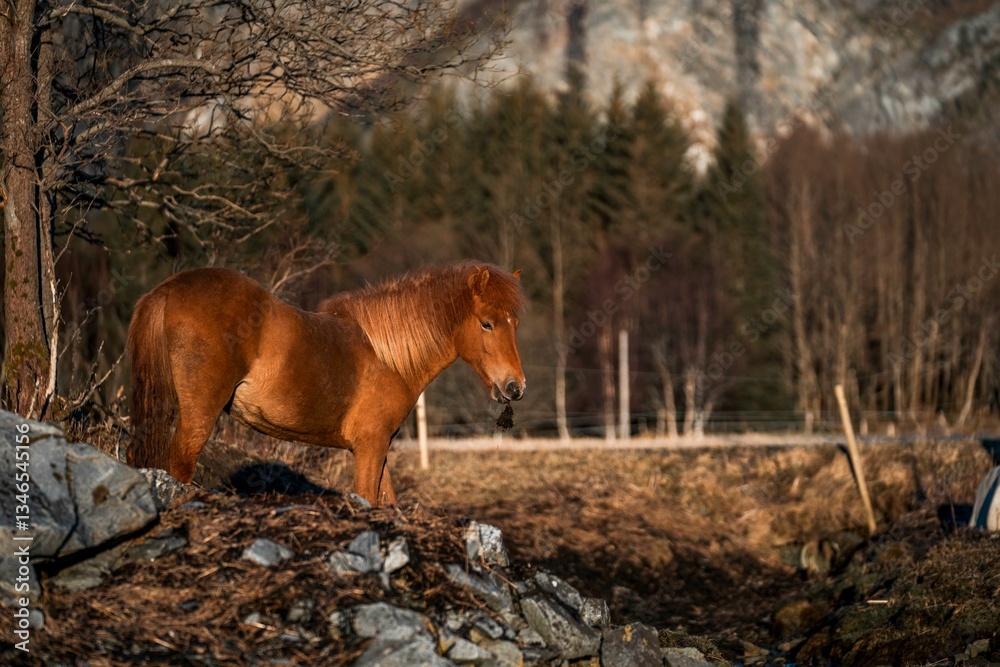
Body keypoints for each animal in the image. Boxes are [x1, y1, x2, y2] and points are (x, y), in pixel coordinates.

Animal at [126, 262, 526, 506]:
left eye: (515, 323)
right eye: (486, 323)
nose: (515, 387)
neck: (388, 355)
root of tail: (168, 289)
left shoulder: (376, 448)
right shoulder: (369, 447)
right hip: (197, 418)